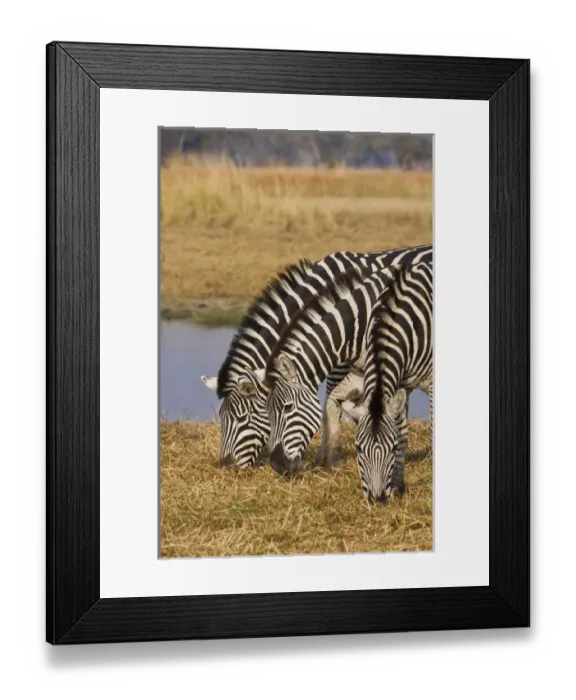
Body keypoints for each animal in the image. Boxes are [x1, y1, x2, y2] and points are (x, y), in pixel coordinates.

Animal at [201, 245, 432, 469]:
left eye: (242, 419)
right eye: (221, 417)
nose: (226, 466)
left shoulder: (344, 361)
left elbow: (330, 403)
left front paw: (329, 458)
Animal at [341, 261, 433, 504]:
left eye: (389, 450)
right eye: (358, 449)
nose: (377, 498)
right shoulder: (401, 384)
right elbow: (401, 433)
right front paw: (398, 487)